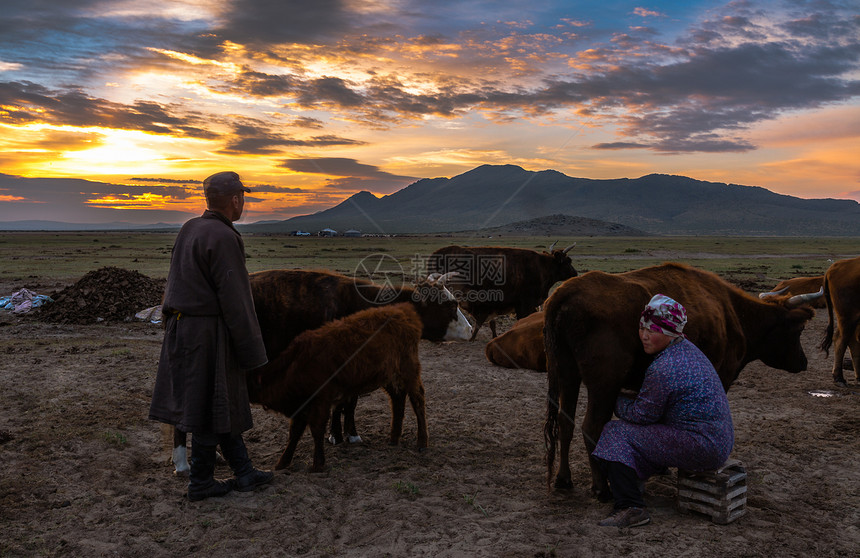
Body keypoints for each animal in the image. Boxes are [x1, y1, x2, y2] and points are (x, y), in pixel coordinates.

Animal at [245, 304, 426, 474]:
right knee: (397, 399)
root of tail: (403, 311)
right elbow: (294, 433)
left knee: (417, 400)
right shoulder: (302, 406)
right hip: (389, 377)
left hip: (409, 371)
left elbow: (317, 430)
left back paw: (422, 441)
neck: (296, 364)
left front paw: (318, 464)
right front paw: (282, 463)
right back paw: (394, 438)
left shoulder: (320, 402)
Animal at [540, 264, 816, 500]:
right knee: (592, 427)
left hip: (567, 375)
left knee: (565, 423)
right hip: (603, 385)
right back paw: (601, 488)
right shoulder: (722, 376)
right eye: (800, 329)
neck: (733, 314)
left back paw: (563, 479)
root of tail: (565, 292)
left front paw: (661, 467)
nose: (803, 362)